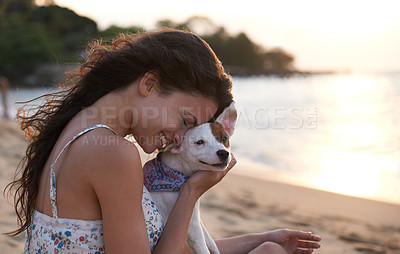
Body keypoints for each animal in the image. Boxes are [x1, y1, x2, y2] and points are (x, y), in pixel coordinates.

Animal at [144, 102, 238, 254]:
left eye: (224, 138)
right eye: (199, 142)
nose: (223, 153)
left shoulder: (195, 215)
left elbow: (210, 241)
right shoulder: (192, 226)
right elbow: (203, 247)